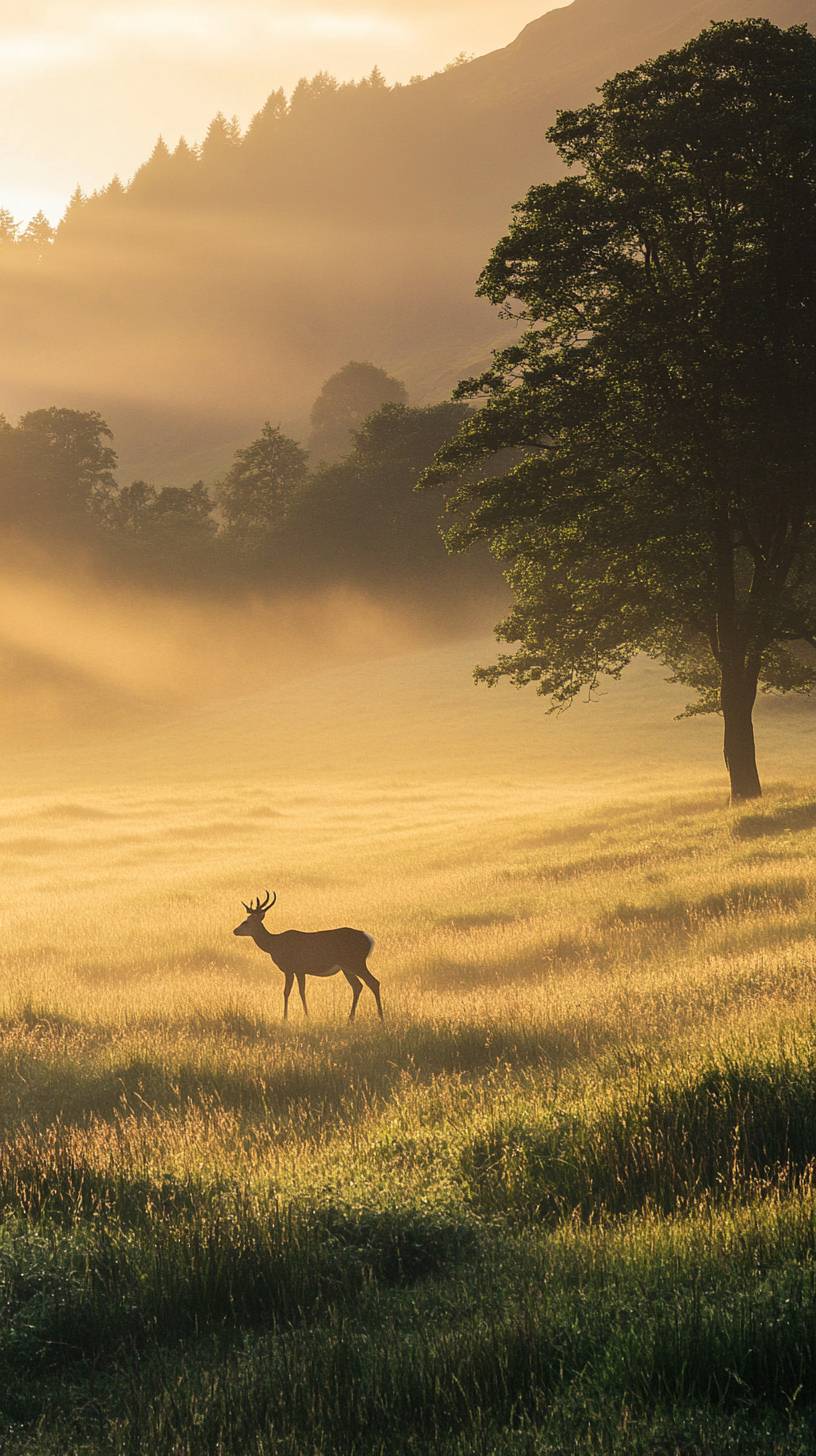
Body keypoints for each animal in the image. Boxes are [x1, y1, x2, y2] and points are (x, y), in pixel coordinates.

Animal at [230, 885, 381, 1025]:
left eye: (247, 922)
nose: (235, 930)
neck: (275, 945)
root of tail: (369, 939)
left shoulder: (291, 968)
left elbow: (287, 991)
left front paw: (286, 1018)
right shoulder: (300, 970)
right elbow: (301, 991)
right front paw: (306, 1016)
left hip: (356, 962)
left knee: (373, 982)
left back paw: (381, 1018)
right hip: (347, 967)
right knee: (358, 986)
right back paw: (351, 1019)